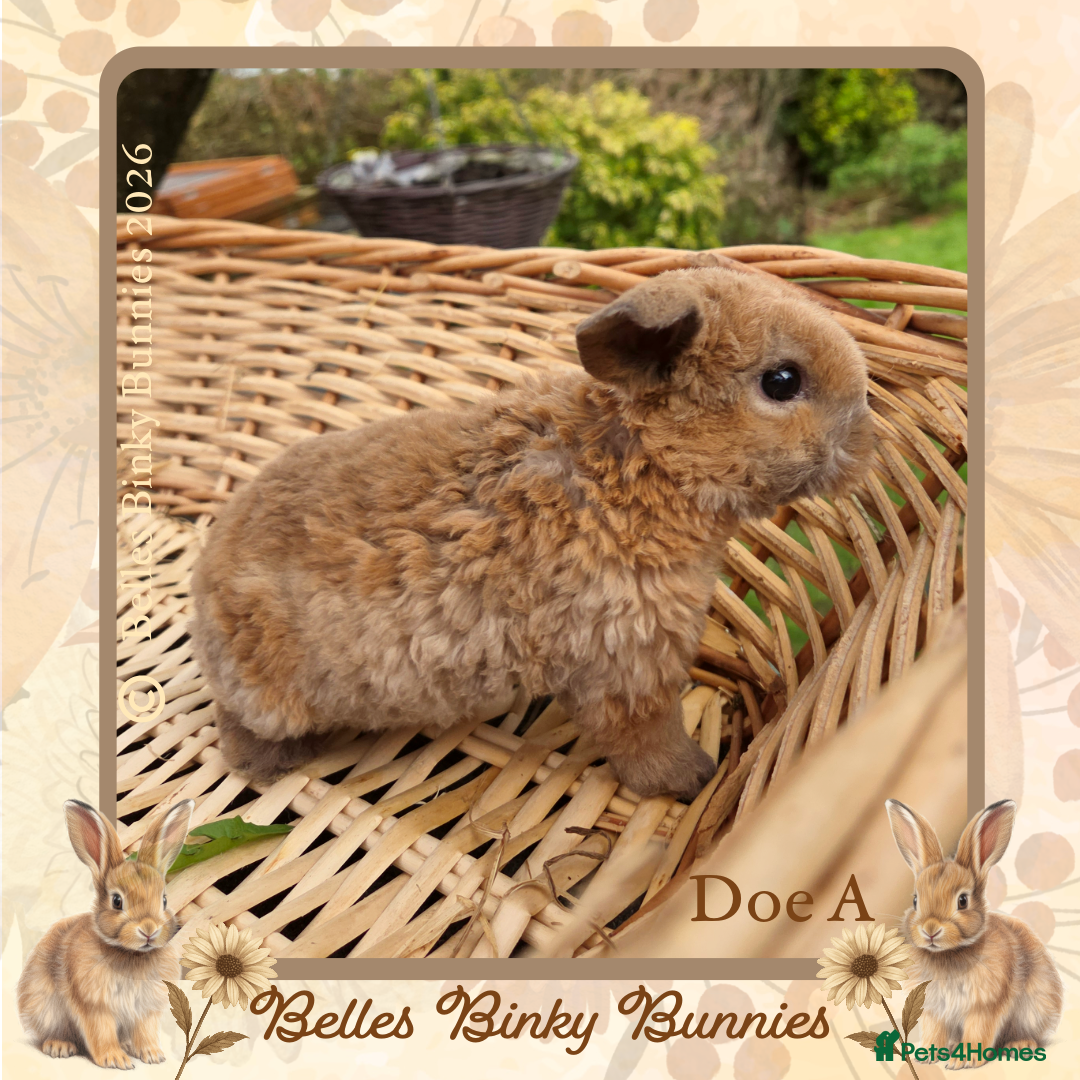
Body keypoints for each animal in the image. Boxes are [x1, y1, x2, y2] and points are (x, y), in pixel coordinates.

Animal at [17, 798, 195, 1069]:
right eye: (117, 901)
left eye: (164, 900)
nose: (149, 930)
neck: (132, 954)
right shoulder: (95, 1005)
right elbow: (101, 1031)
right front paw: (116, 1060)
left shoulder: (145, 1009)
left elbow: (145, 1031)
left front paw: (153, 1055)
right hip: (46, 1008)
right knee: (53, 1032)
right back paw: (59, 1046)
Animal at [190, 267, 874, 802]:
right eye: (781, 382)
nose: (867, 437)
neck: (638, 464)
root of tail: (204, 585)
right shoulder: (629, 660)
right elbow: (644, 736)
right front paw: (691, 779)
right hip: (270, 694)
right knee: (237, 722)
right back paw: (268, 763)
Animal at [885, 798, 1063, 1067]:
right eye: (915, 900)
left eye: (962, 901)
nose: (930, 930)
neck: (949, 954)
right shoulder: (935, 1009)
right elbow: (934, 1031)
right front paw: (926, 1056)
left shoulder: (984, 1005)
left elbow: (978, 1030)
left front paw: (963, 1061)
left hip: (1034, 1009)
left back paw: (1019, 1045)